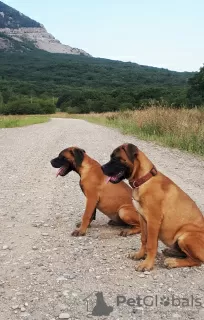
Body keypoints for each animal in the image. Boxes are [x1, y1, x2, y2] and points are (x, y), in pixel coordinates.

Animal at [102, 144, 204, 272]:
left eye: (115, 158)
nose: (101, 168)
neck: (144, 180)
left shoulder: (153, 221)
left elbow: (151, 244)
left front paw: (147, 264)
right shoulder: (142, 218)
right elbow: (143, 239)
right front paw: (140, 255)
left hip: (185, 237)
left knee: (197, 261)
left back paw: (173, 262)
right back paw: (171, 252)